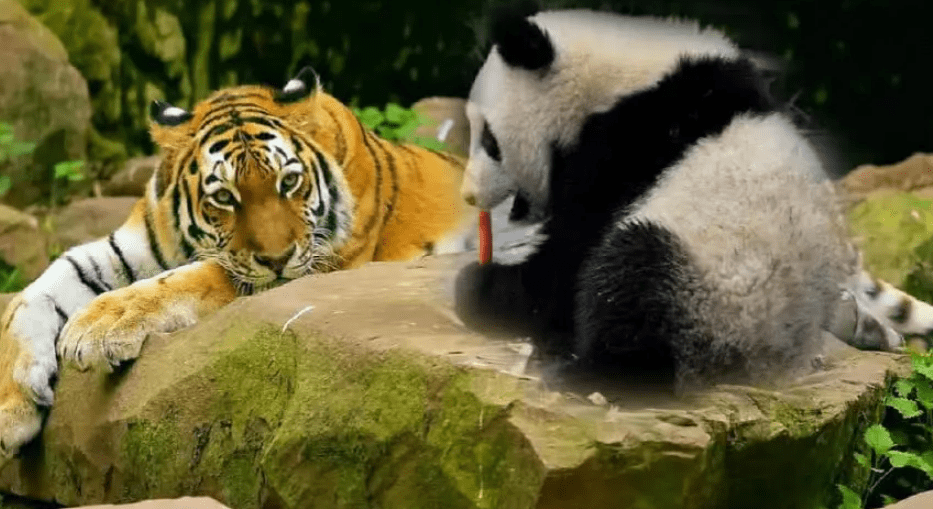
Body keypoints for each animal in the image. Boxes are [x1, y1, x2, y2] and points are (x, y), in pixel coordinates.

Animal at [0, 67, 475, 457]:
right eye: (225, 197)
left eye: (290, 181)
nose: (278, 259)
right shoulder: (126, 247)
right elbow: (30, 296)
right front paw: (11, 411)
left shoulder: (320, 263)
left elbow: (191, 277)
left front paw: (98, 327)